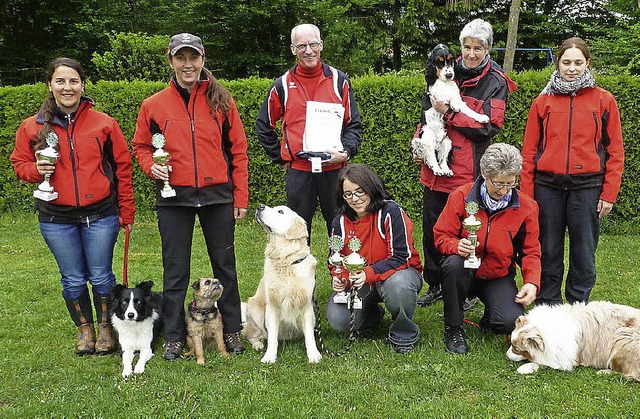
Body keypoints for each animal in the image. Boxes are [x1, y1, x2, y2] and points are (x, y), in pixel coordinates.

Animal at [241, 206, 322, 364]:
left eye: (280, 211)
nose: (260, 206)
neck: (286, 263)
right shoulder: (272, 306)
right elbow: (272, 337)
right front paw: (269, 357)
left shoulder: (306, 306)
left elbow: (309, 336)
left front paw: (313, 355)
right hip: (255, 309)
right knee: (253, 334)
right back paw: (258, 344)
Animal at [410, 44, 490, 177]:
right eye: (439, 62)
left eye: (450, 60)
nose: (449, 75)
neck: (445, 83)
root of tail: (436, 144)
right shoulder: (436, 96)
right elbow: (448, 97)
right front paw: (454, 105)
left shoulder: (459, 99)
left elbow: (468, 110)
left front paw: (482, 117)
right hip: (427, 141)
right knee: (431, 158)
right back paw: (437, 170)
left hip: (447, 142)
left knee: (442, 159)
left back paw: (446, 170)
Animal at [508, 300, 640, 382]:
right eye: (511, 344)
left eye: (517, 349)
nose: (506, 356)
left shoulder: (566, 358)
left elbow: (543, 363)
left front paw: (524, 368)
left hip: (623, 337)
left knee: (631, 374)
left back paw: (604, 372)